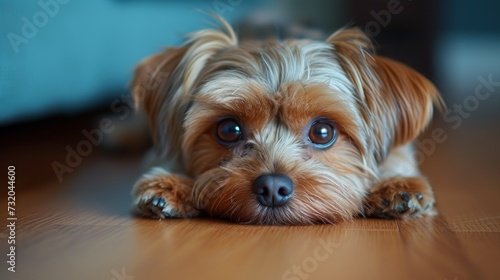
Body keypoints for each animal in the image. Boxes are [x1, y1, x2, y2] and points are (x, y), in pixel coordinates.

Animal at [129, 16, 442, 224]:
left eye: (322, 132)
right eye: (229, 129)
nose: (272, 188)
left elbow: (396, 155)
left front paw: (396, 185)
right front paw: (171, 184)